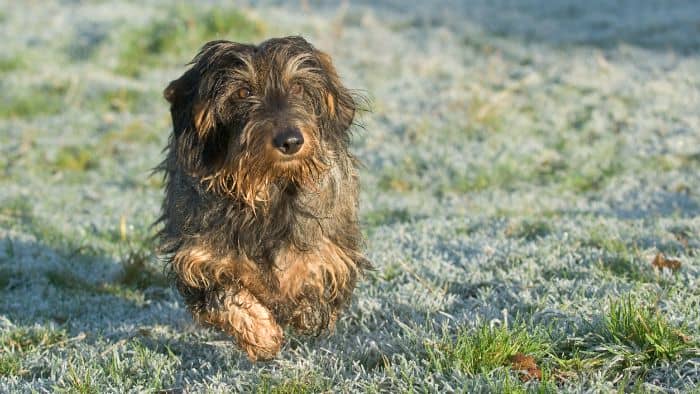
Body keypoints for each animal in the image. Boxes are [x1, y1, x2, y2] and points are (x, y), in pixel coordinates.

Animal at [155, 36, 370, 360]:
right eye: (243, 92)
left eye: (298, 87)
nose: (291, 141)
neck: (267, 186)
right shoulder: (200, 256)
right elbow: (224, 294)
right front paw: (260, 333)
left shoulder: (330, 247)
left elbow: (312, 271)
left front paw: (298, 301)